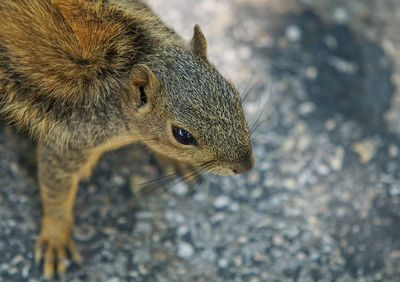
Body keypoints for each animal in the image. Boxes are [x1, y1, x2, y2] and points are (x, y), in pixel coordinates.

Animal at [0, 0, 255, 278]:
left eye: (234, 94)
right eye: (182, 135)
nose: (245, 166)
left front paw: (174, 161)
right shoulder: (70, 137)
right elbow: (55, 188)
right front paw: (56, 239)